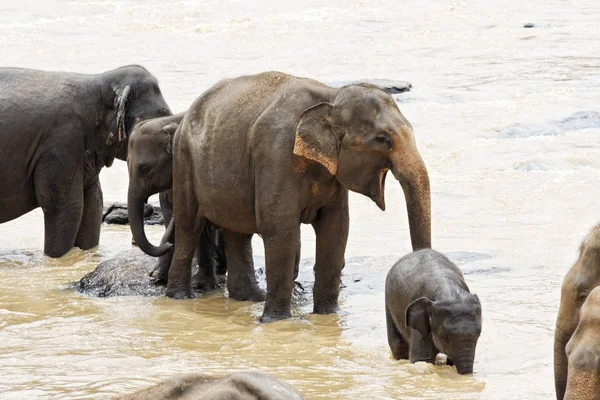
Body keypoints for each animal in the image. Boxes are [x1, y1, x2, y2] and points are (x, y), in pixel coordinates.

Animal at [0, 64, 171, 258]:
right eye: (162, 114)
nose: (169, 245)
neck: (99, 82)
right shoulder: (63, 142)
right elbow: (66, 206)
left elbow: (94, 203)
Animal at [136, 71, 432, 322]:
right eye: (383, 139)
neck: (330, 97)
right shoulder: (276, 154)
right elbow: (281, 228)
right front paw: (276, 321)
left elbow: (335, 228)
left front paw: (328, 316)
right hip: (184, 160)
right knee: (189, 223)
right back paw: (180, 297)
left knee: (237, 231)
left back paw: (248, 298)